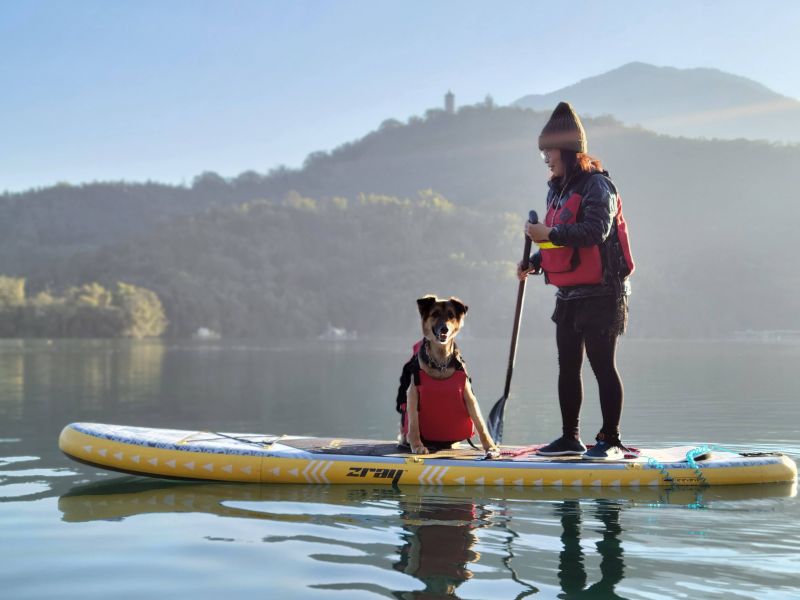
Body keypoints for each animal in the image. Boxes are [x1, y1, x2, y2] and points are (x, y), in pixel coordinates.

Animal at [400, 296, 500, 460]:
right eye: (434, 314)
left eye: (451, 315)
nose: (444, 329)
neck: (440, 363)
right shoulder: (413, 393)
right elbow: (414, 423)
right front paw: (417, 445)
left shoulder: (469, 395)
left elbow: (481, 424)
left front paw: (491, 447)